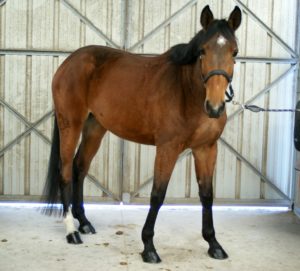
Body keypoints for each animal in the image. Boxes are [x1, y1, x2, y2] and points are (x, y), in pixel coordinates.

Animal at [43, 5, 243, 264]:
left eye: (234, 52)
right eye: (202, 51)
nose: (215, 106)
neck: (186, 91)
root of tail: (69, 61)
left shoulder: (206, 148)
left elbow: (207, 194)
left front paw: (213, 244)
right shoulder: (167, 148)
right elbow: (158, 195)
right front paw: (148, 246)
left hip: (95, 128)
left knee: (80, 168)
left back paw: (84, 222)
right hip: (70, 124)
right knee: (66, 171)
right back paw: (71, 231)